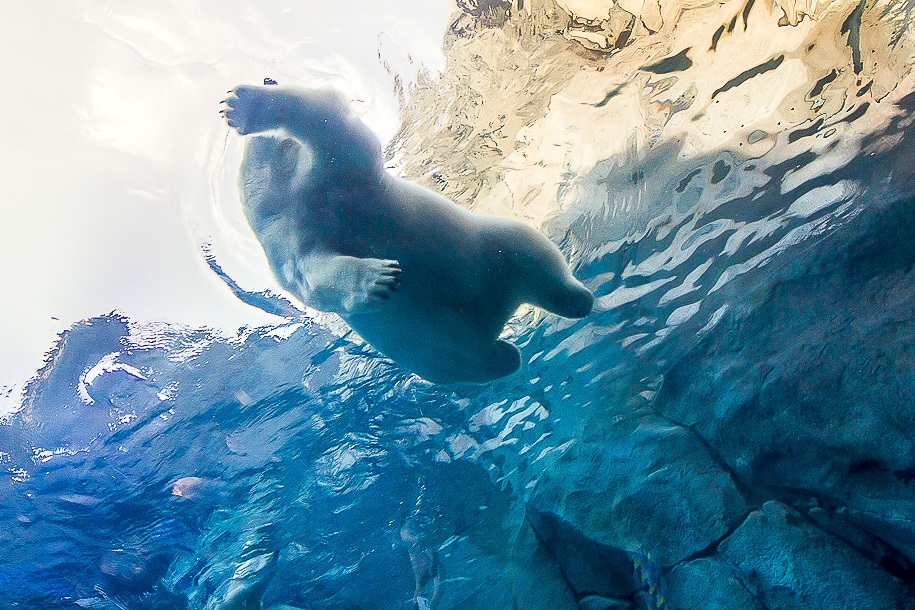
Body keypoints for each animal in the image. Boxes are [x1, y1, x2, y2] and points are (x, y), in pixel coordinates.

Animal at [222, 84, 593, 384]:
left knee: (533, 257)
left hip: (489, 245)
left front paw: (247, 105)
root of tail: (489, 320)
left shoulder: (333, 180)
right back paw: (506, 354)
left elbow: (337, 128)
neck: (292, 196)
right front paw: (379, 278)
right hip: (431, 352)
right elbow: (314, 276)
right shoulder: (286, 238)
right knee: (470, 361)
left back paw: (576, 301)